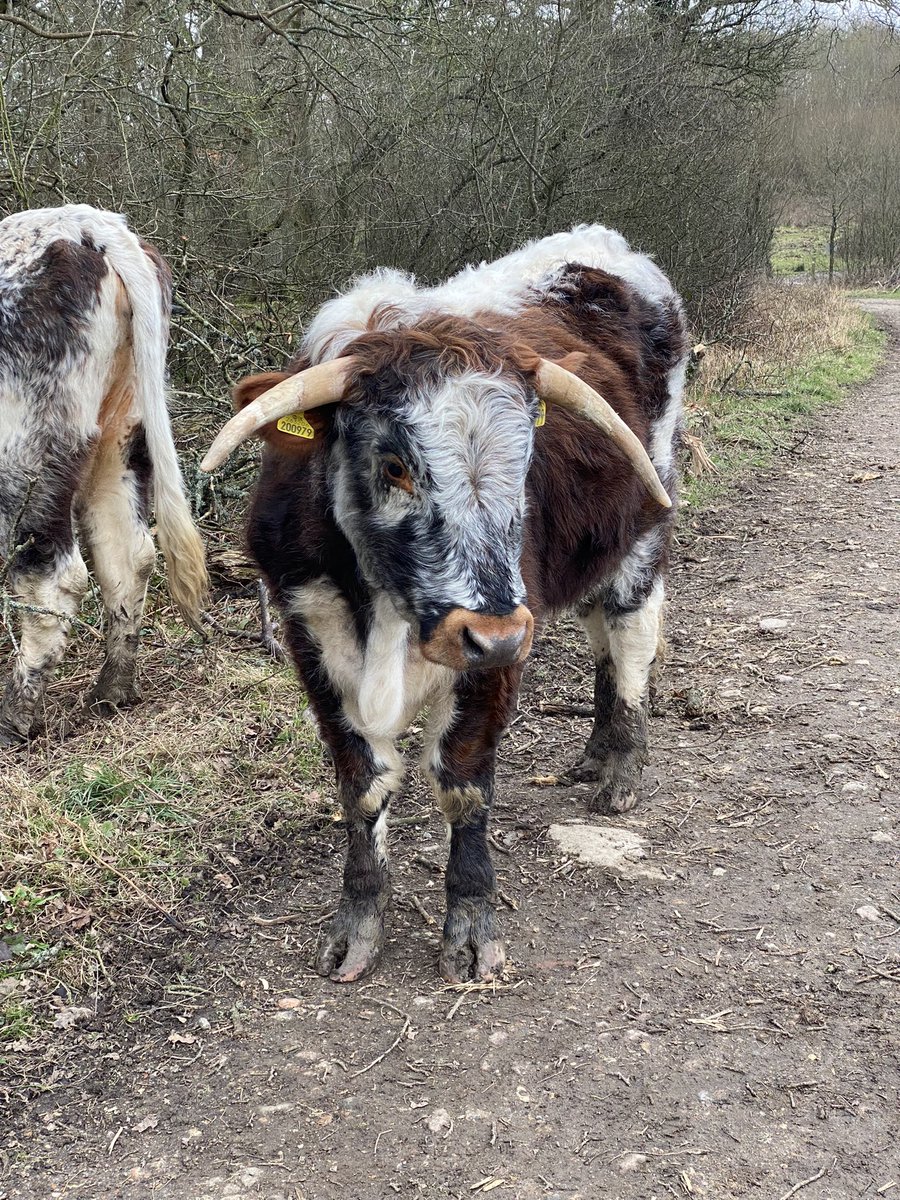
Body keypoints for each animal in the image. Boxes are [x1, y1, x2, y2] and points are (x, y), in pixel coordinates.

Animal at [0, 205, 207, 745]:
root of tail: (86, 226)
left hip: (25, 458)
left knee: (55, 580)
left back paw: (15, 718)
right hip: (122, 432)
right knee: (128, 555)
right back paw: (113, 689)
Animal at [202, 225, 688, 984]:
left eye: (525, 463)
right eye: (395, 466)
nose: (493, 634)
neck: (385, 609)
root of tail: (603, 246)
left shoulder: (495, 652)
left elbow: (463, 783)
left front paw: (470, 928)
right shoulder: (311, 640)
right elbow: (362, 785)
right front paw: (357, 928)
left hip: (643, 525)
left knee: (630, 634)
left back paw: (621, 770)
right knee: (600, 638)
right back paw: (593, 751)